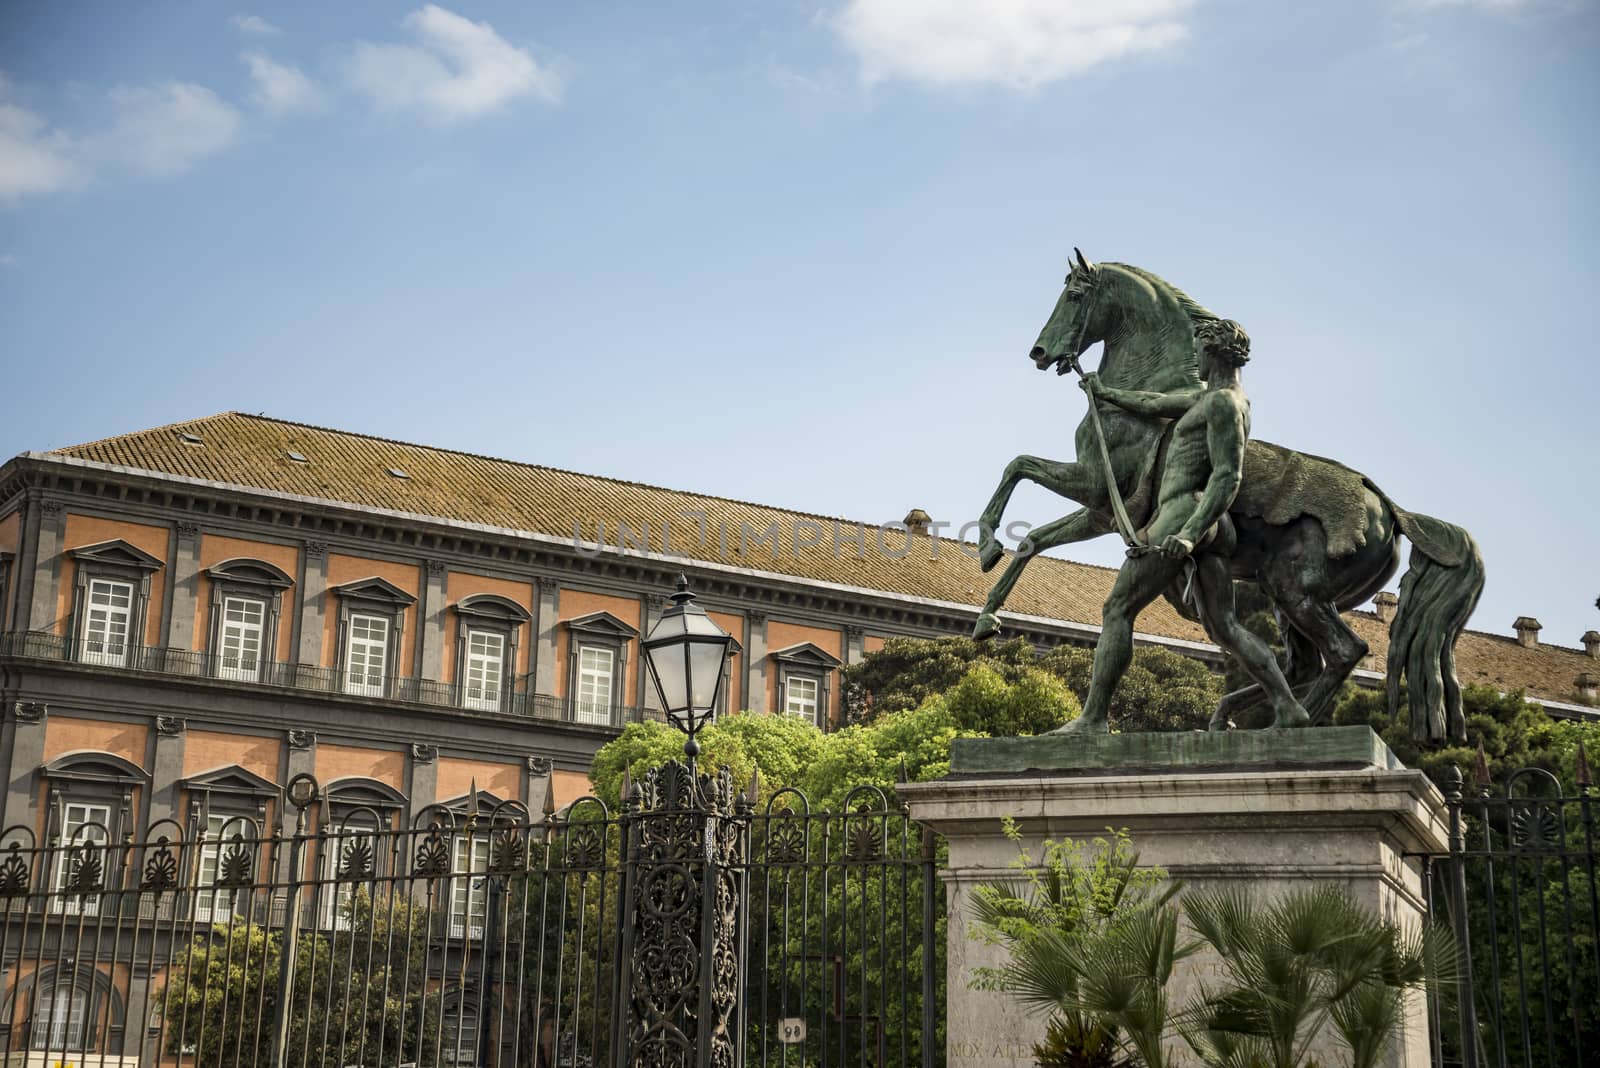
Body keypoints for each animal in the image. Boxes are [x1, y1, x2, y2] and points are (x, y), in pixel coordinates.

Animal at [972, 252, 1484, 741]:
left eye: (1075, 294)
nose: (1040, 352)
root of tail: (1392, 511)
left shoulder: (1095, 485)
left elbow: (1017, 465)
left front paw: (986, 543)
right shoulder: (1103, 512)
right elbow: (1033, 538)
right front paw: (987, 615)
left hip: (1293, 590)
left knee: (1343, 651)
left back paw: (1291, 724)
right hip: (1284, 598)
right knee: (1298, 661)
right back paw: (1242, 718)